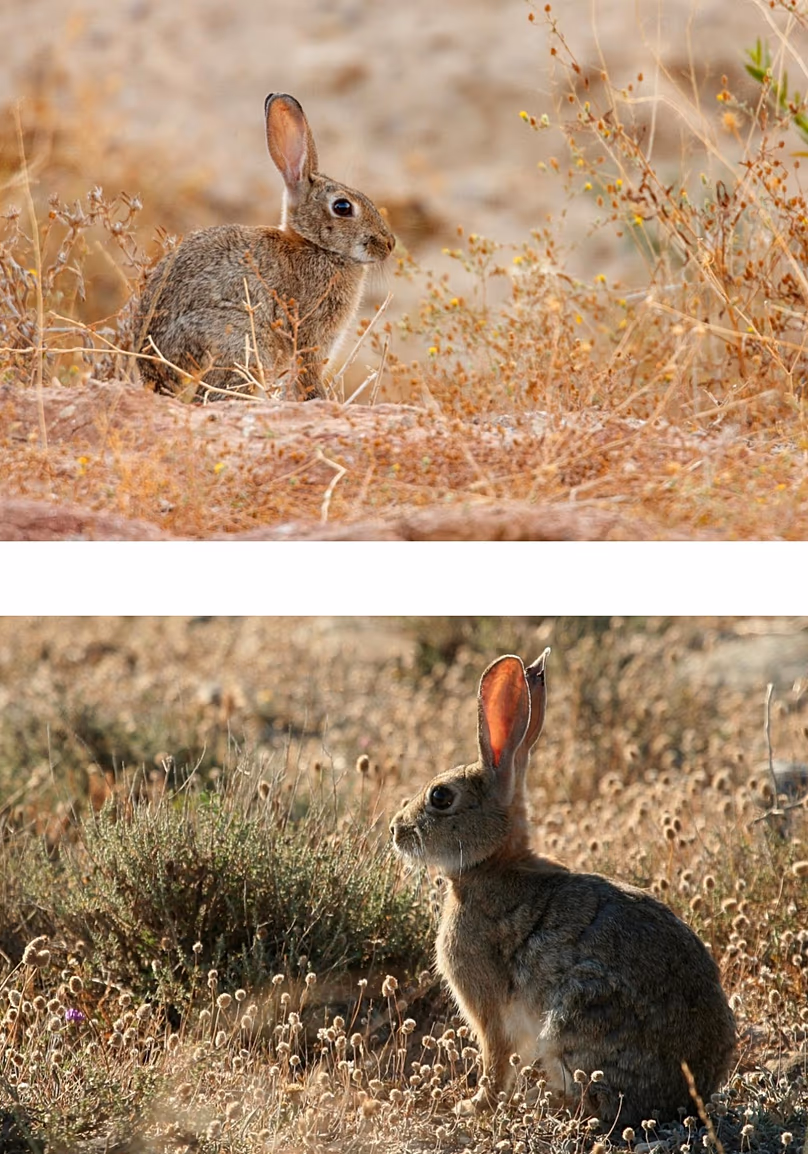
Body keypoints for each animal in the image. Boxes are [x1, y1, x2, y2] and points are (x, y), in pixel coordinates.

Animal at [135, 93, 395, 401]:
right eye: (342, 207)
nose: (389, 244)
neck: (316, 246)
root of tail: (156, 375)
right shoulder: (308, 337)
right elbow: (307, 377)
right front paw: (321, 400)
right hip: (240, 339)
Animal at [390, 651, 736, 1129]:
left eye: (441, 797)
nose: (395, 829)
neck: (492, 865)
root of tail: (690, 1092)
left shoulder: (487, 1003)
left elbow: (495, 1059)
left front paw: (473, 1106)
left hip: (577, 1018)